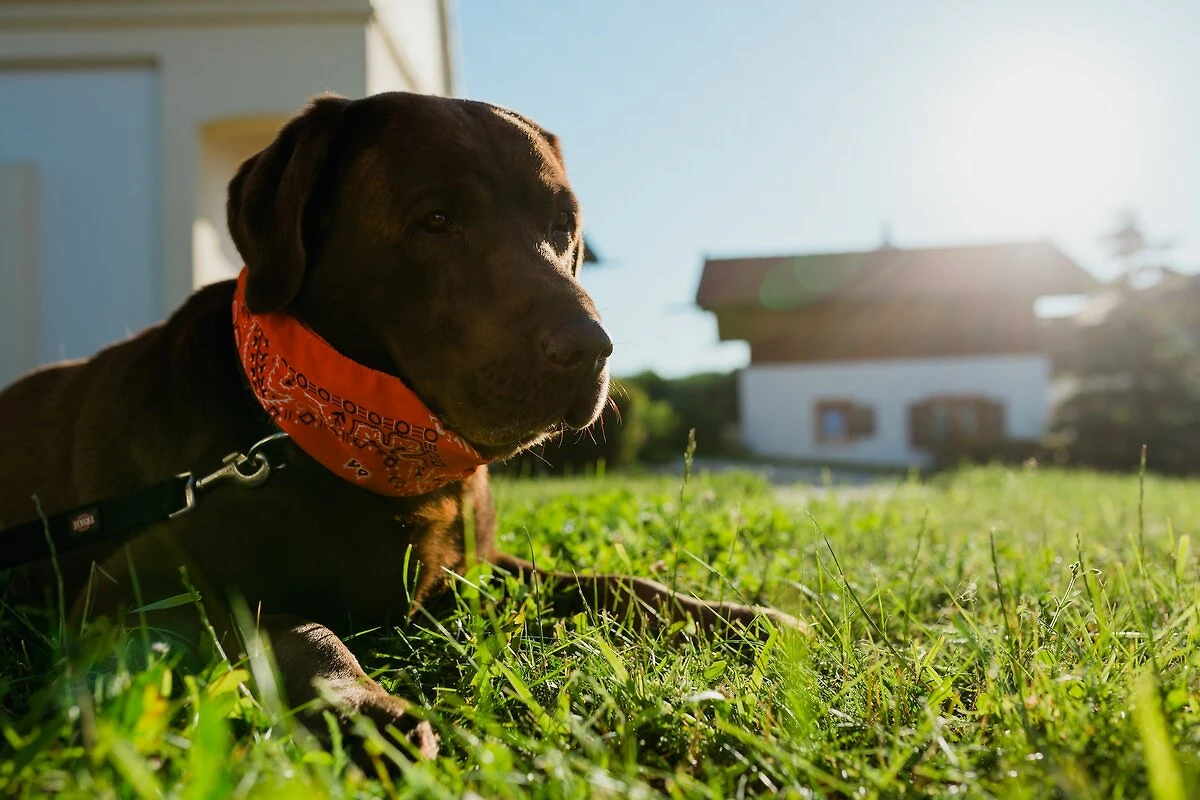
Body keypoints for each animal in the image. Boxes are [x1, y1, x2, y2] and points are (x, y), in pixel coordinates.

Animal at [0, 92, 800, 758]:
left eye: (561, 225)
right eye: (436, 220)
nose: (590, 347)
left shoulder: (478, 569)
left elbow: (616, 585)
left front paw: (743, 618)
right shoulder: (126, 594)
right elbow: (283, 626)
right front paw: (364, 707)